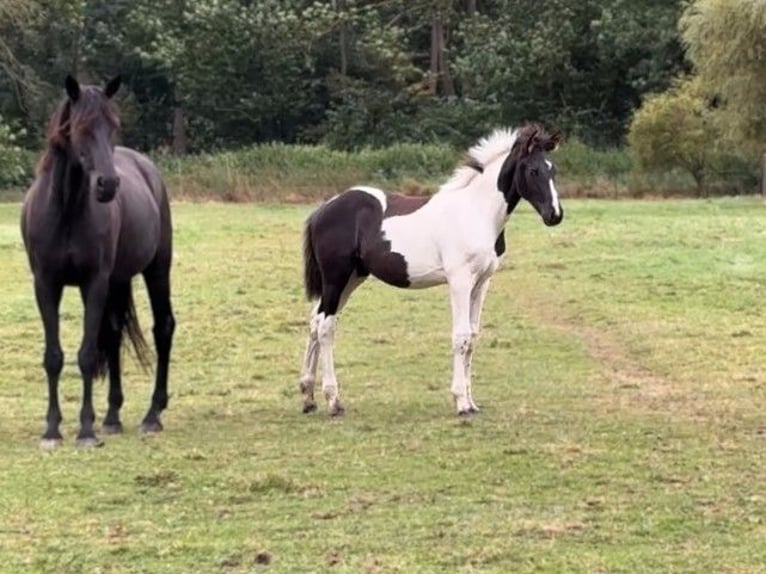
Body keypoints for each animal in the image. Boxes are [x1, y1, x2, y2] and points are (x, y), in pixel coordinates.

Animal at [21, 74, 178, 448]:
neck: (65, 210)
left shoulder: (94, 282)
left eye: (114, 125)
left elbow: (88, 355)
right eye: (81, 127)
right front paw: (52, 430)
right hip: (118, 282)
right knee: (115, 333)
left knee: (163, 327)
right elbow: (54, 356)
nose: (108, 185)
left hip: (156, 270)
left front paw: (86, 431)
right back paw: (112, 416)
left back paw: (153, 414)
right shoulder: (46, 284)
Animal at [302, 124, 564, 416]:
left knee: (315, 321)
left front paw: (472, 402)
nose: (555, 215)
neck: (477, 213)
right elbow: (461, 337)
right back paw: (333, 400)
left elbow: (473, 337)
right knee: (326, 327)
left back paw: (308, 396)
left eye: (553, 170)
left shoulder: (482, 282)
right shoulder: (459, 280)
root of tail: (323, 209)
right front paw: (461, 402)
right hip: (335, 278)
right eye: (533, 170)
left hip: (352, 278)